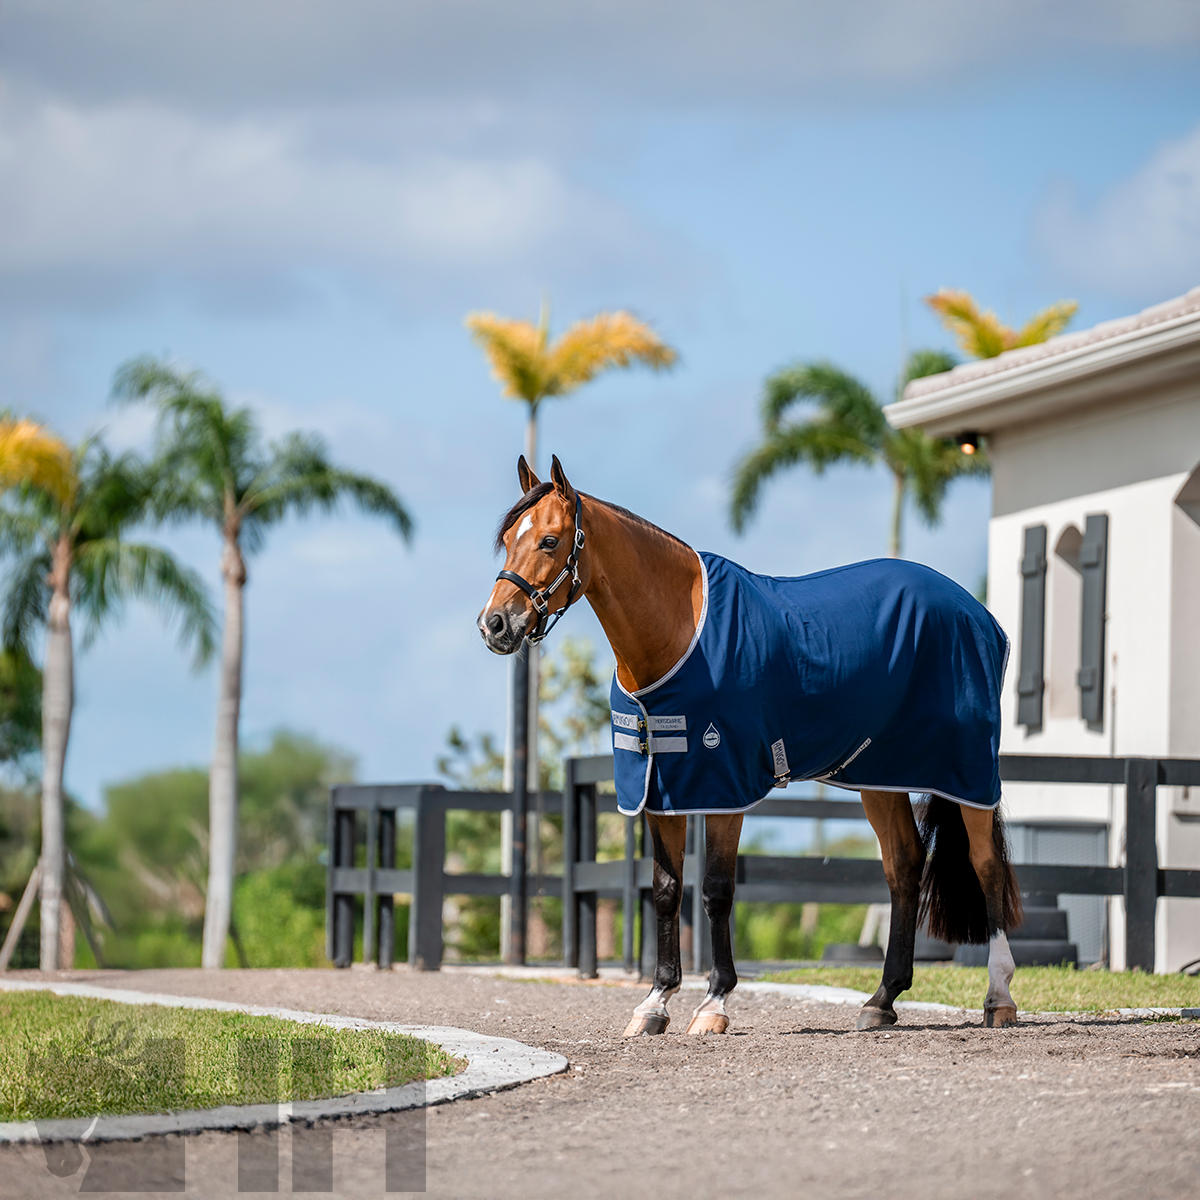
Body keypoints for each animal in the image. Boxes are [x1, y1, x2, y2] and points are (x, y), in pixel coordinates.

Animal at [477, 455, 1022, 1035]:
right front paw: (654, 1003)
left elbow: (716, 890)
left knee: (986, 864)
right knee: (904, 865)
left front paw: (713, 1004)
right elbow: (666, 890)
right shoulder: (661, 788)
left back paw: (998, 998)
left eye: (550, 541)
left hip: (967, 770)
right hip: (880, 776)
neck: (678, 631)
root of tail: (978, 614)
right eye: (508, 538)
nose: (494, 625)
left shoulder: (724, 785)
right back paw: (882, 999)